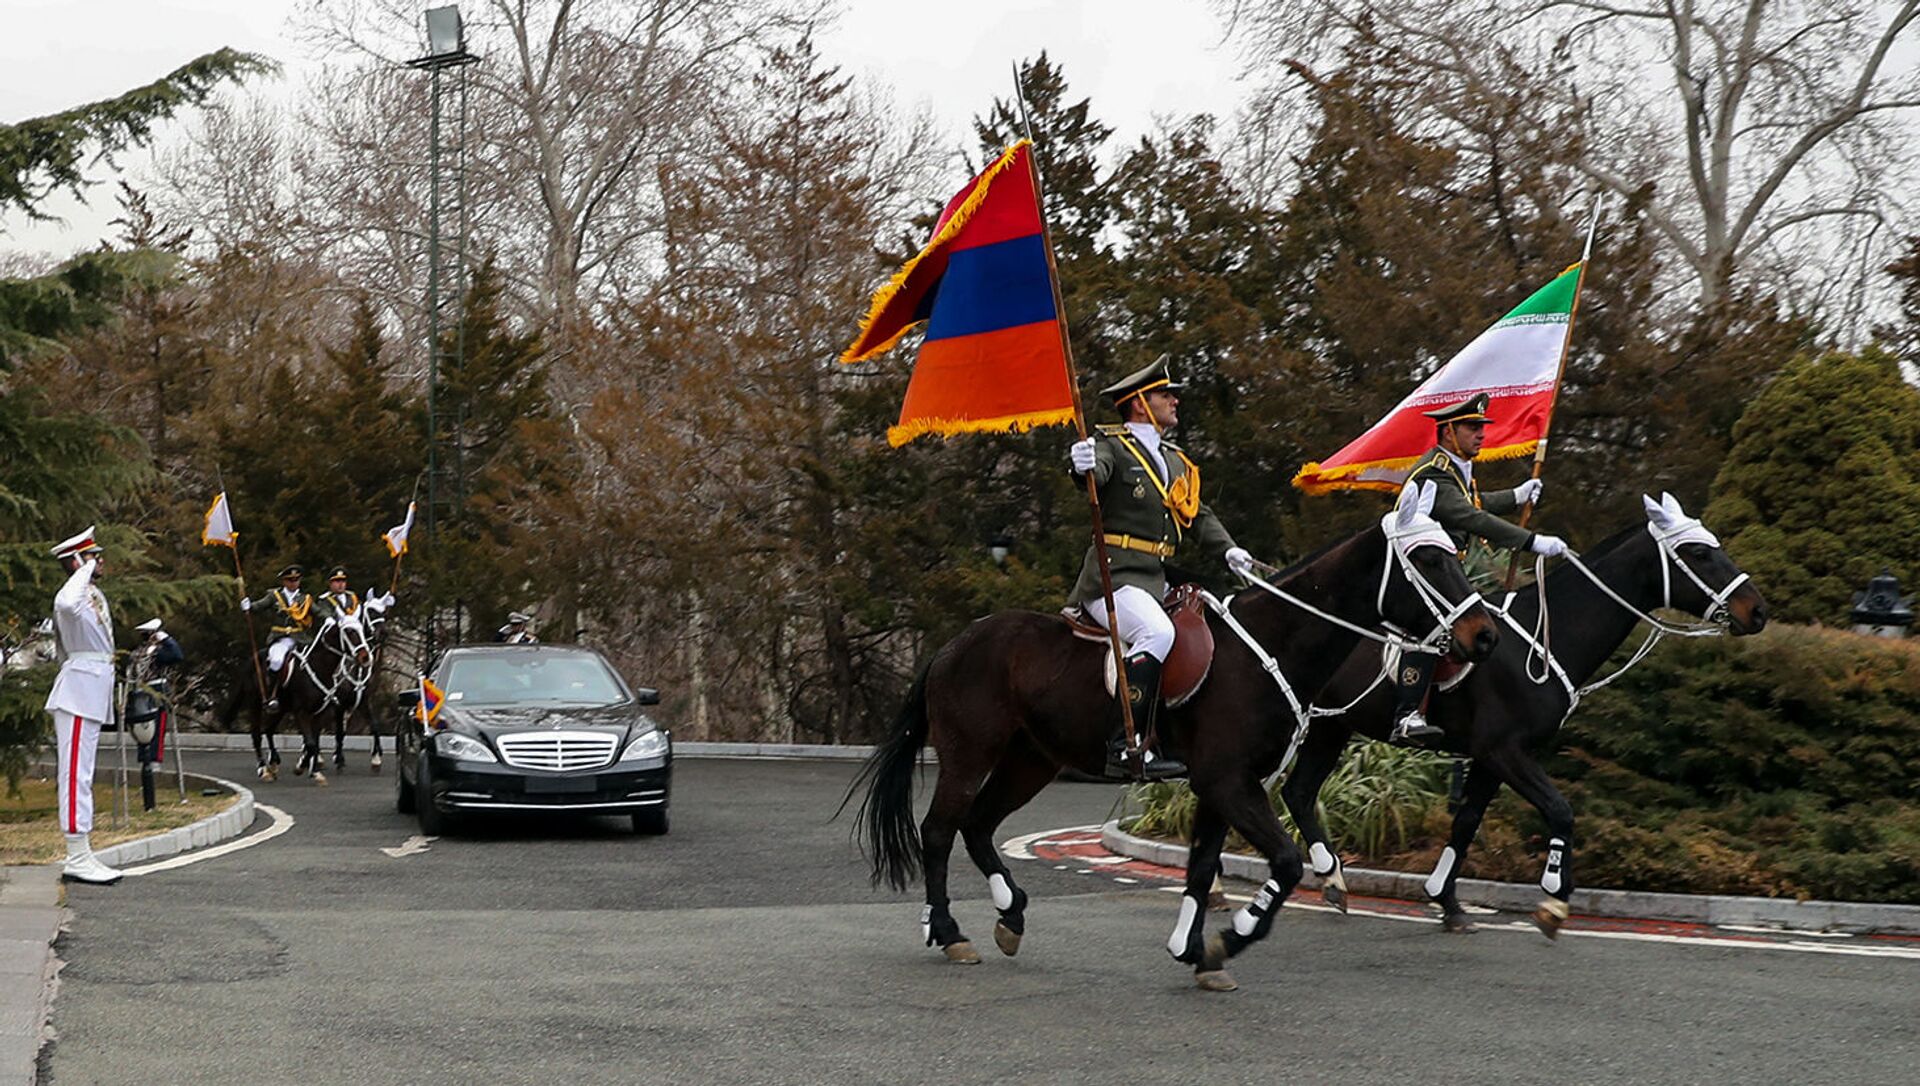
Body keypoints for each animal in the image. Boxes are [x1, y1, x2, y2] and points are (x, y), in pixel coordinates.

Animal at [852, 481, 1497, 990]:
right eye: (1429, 560)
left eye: (1452, 553)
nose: (1484, 636)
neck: (1267, 645)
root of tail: (954, 645)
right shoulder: (1230, 781)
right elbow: (1286, 863)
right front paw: (1230, 937)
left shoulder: (1221, 785)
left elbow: (1202, 867)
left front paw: (1196, 952)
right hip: (970, 755)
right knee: (940, 830)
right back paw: (950, 931)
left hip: (1030, 762)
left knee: (979, 825)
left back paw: (1011, 916)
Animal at [1297, 498, 1758, 940]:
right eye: (1698, 552)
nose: (1758, 610)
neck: (1541, 642)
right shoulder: (1503, 750)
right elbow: (1560, 810)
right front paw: (1554, 896)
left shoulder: (1490, 760)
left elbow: (1465, 825)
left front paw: (1448, 902)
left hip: (1328, 726)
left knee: (1298, 794)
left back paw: (1332, 878)